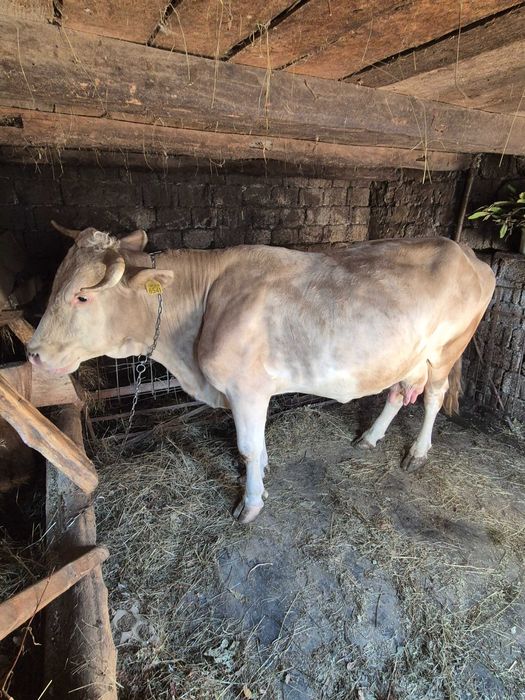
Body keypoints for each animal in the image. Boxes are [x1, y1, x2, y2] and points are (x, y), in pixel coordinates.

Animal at [27, 223, 495, 523]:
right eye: (57, 282)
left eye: (83, 296)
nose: (32, 353)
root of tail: (467, 253)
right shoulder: (253, 390)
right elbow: (259, 445)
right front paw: (263, 476)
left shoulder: (245, 387)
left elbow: (248, 447)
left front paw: (250, 504)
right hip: (407, 355)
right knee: (399, 392)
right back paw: (371, 437)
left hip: (447, 350)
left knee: (433, 397)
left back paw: (417, 452)